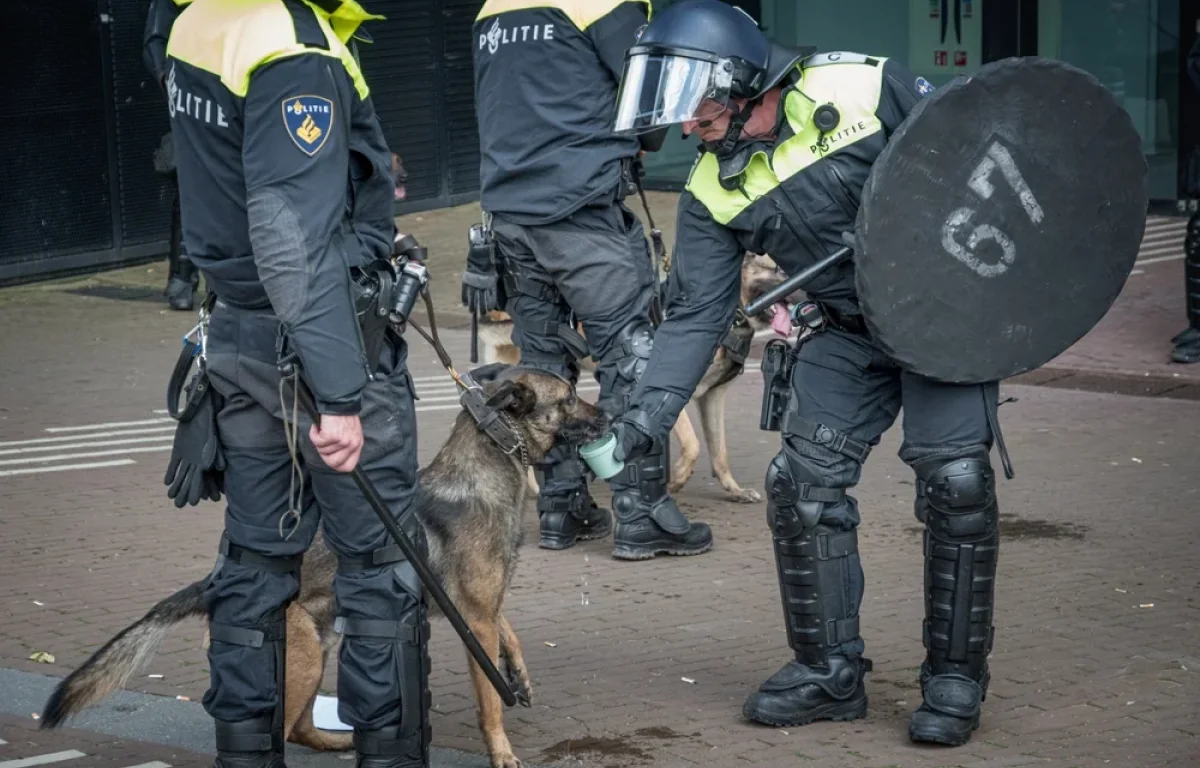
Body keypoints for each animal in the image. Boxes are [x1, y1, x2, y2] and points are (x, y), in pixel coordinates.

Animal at [41, 364, 604, 768]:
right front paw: (502, 752)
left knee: (299, 728)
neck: (487, 464)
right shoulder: (476, 620)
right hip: (302, 660)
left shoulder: (484, 609)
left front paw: (520, 677)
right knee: (277, 728)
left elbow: (512, 636)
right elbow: (491, 701)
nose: (608, 418)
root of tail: (214, 583)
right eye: (569, 397)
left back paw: (340, 742)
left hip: (322, 643)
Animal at [475, 252, 796, 504]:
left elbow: (720, 452)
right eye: (778, 269)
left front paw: (734, 490)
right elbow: (692, 445)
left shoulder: (713, 397)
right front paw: (677, 478)